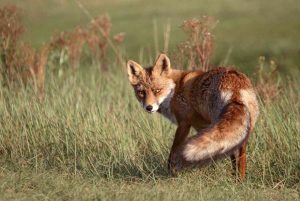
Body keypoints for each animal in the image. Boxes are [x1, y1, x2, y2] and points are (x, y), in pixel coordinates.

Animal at [125, 53, 258, 179]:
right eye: (141, 93)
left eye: (157, 90)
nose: (149, 107)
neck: (175, 90)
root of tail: (235, 88)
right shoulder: (202, 127)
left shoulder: (184, 123)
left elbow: (174, 151)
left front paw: (171, 173)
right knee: (238, 152)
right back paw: (239, 180)